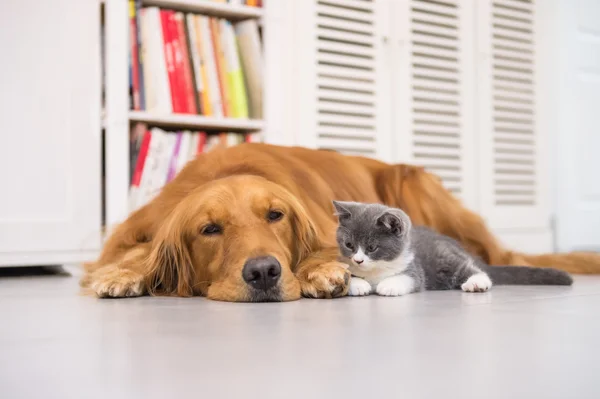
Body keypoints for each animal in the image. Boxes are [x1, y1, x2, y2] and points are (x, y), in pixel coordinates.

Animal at [332, 202, 572, 296]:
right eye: (349, 245)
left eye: (372, 247)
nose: (358, 260)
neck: (375, 271)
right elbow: (348, 277)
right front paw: (359, 285)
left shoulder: (414, 268)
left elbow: (408, 278)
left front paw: (388, 286)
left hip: (444, 258)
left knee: (473, 269)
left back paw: (477, 283)